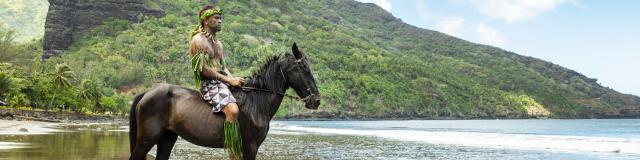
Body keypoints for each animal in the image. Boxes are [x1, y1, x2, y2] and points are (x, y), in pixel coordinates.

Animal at [129, 43, 320, 159]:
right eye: (304, 68)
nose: (316, 101)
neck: (256, 103)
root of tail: (147, 93)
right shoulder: (251, 147)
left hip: (167, 138)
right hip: (147, 138)